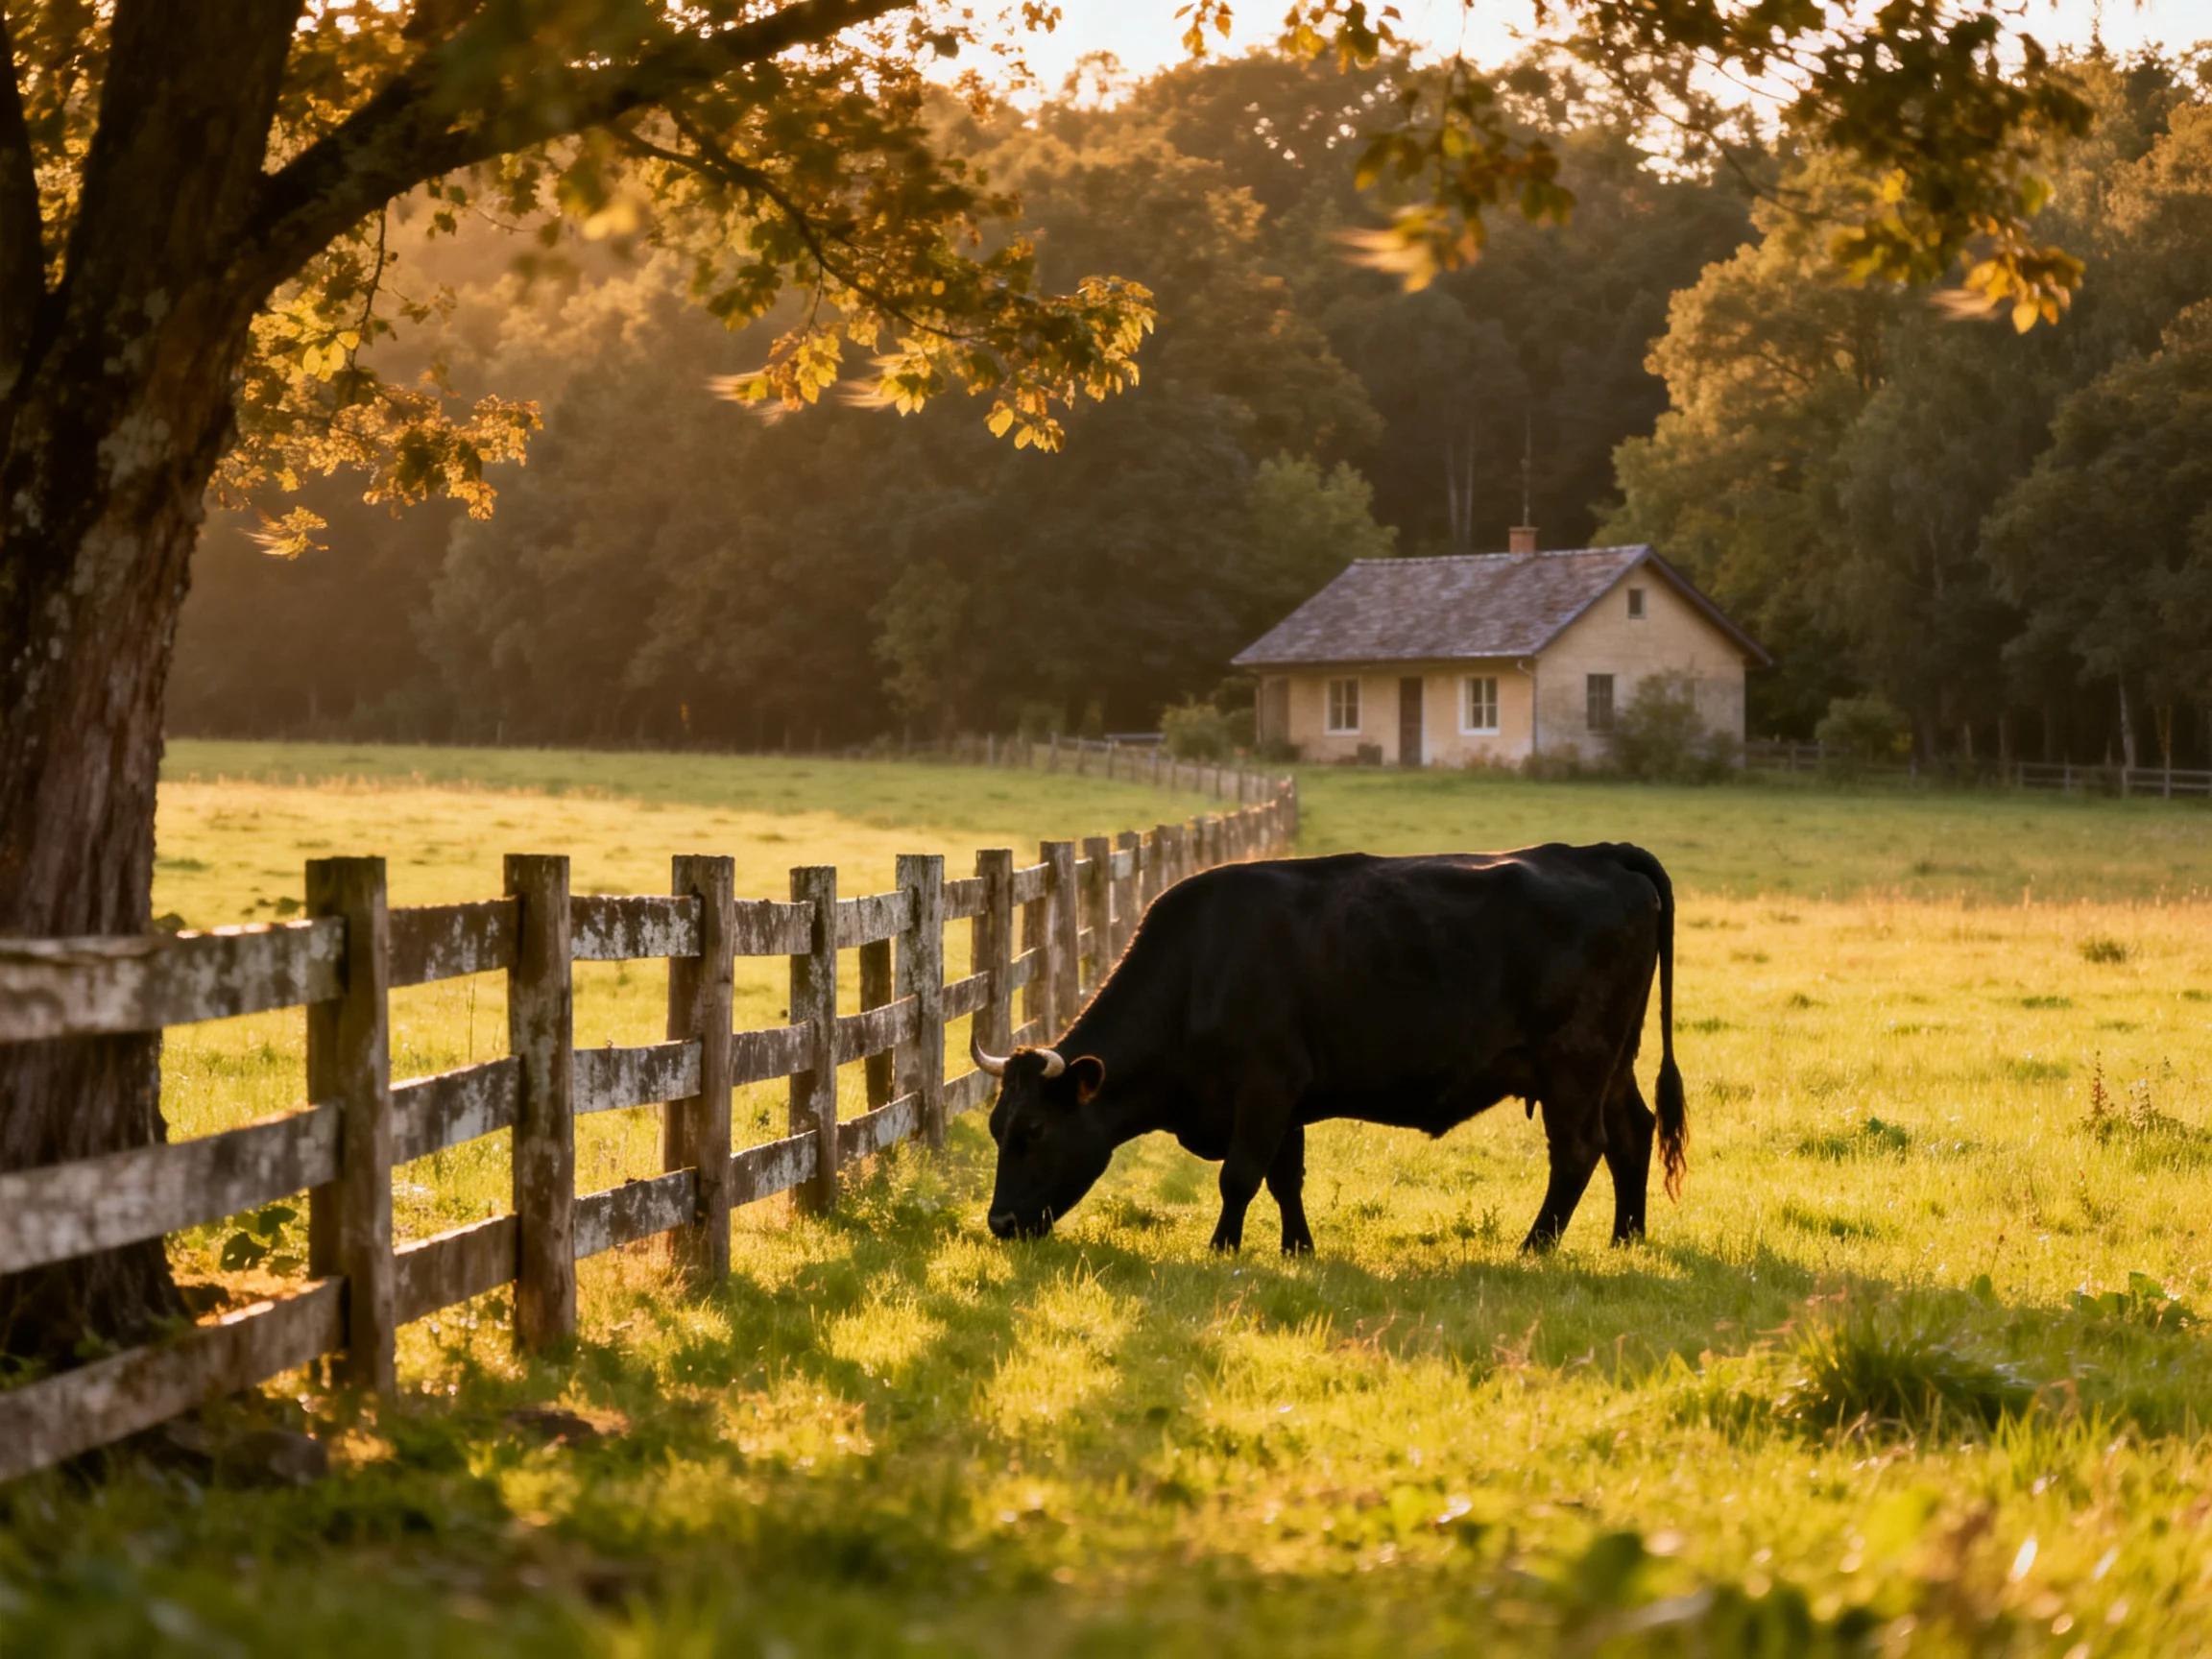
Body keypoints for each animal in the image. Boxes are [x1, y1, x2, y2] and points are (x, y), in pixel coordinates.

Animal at [973, 843, 1686, 1256]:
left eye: (1034, 1131)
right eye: (995, 1128)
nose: (999, 1223)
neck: (1200, 967)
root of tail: (1600, 852)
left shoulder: (1266, 1085)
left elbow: (1240, 1175)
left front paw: (1222, 1248)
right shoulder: (1287, 1095)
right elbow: (1285, 1178)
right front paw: (1299, 1249)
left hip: (1575, 1062)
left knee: (1579, 1150)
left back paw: (1534, 1246)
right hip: (1613, 1061)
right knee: (1632, 1133)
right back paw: (1627, 1238)